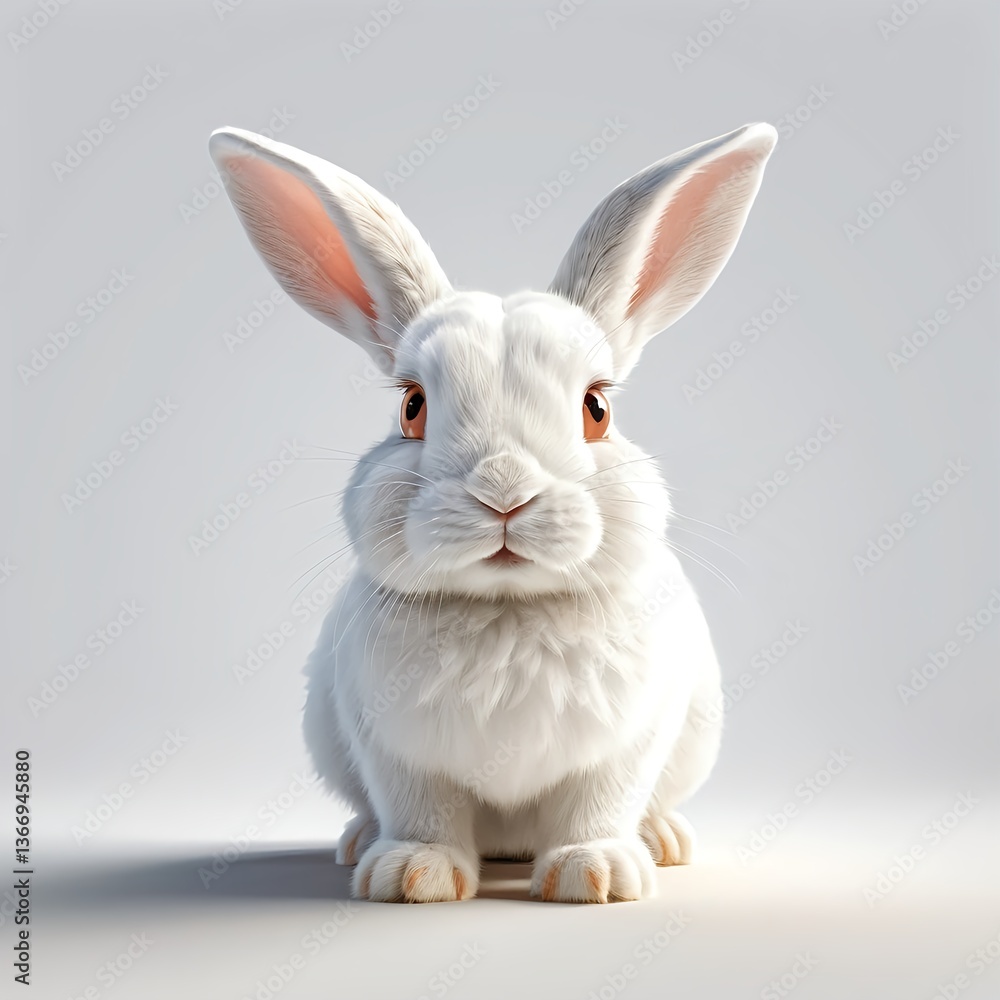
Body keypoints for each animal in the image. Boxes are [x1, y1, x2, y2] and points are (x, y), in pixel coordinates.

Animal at [209, 121, 776, 903]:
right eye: (412, 407)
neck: (509, 609)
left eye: (596, 409)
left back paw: (662, 841)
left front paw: (595, 875)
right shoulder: (393, 747)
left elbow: (600, 802)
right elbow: (422, 808)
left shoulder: (628, 742)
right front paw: (411, 875)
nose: (504, 490)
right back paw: (357, 844)